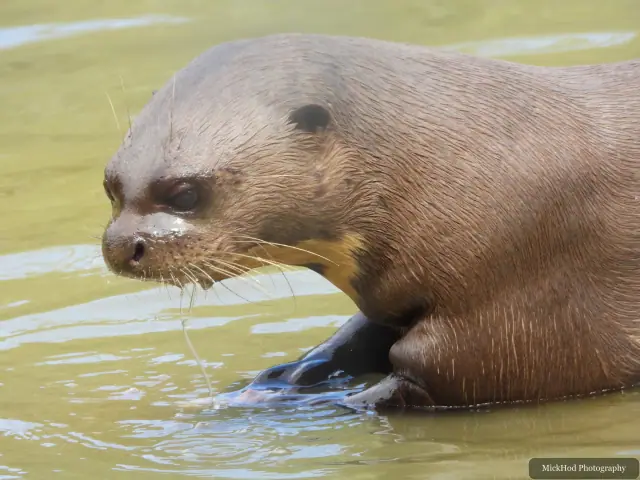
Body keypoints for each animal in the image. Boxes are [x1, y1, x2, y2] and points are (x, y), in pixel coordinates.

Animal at [101, 33, 640, 410]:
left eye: (185, 193)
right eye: (111, 185)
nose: (122, 245)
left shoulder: (525, 309)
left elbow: (434, 378)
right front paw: (282, 379)